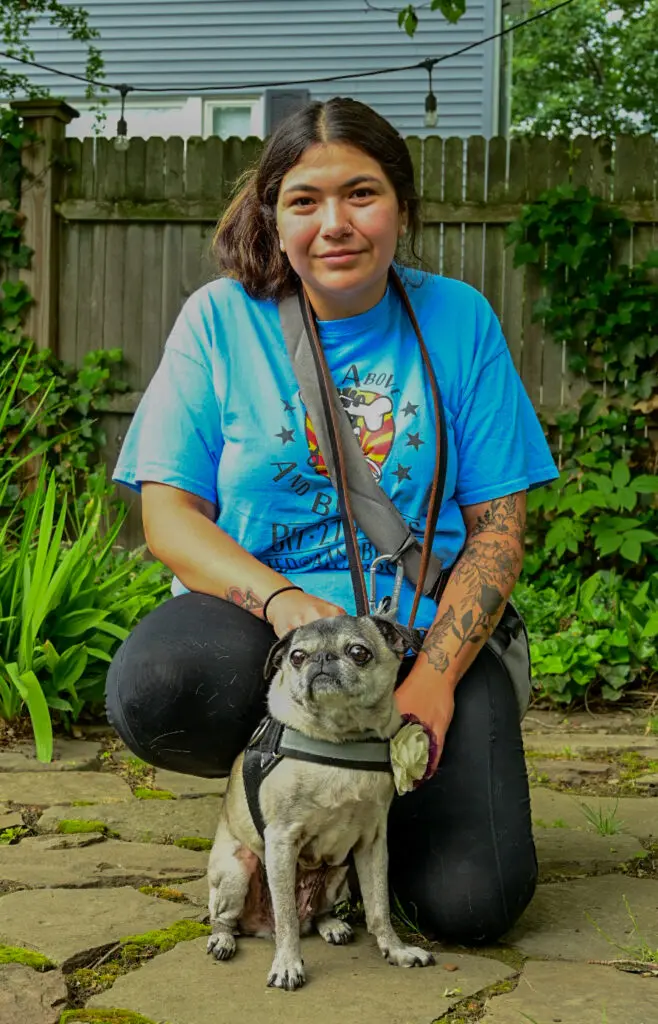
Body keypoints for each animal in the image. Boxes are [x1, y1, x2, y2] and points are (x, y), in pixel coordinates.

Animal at [204, 614, 431, 991]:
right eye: (297, 657)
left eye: (358, 653)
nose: (322, 658)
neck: (340, 741)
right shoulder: (281, 840)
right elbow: (287, 920)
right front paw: (287, 965)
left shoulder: (373, 845)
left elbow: (379, 908)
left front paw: (396, 950)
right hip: (236, 870)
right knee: (227, 919)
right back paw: (223, 939)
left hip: (339, 874)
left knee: (317, 914)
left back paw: (332, 926)